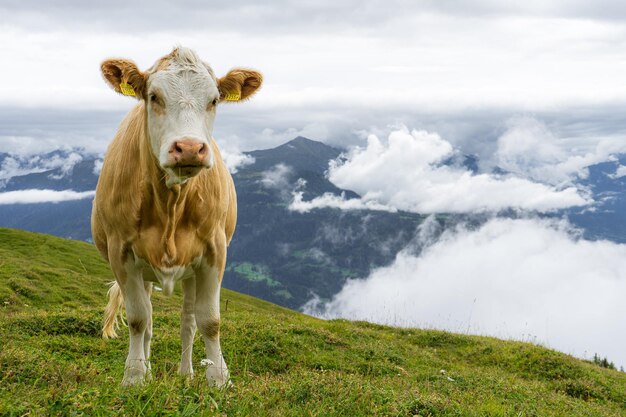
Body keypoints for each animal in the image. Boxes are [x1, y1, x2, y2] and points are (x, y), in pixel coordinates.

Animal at [92, 46, 260, 386]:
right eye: (154, 96)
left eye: (214, 100)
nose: (190, 148)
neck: (170, 204)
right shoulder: (121, 253)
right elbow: (137, 319)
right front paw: (134, 377)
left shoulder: (214, 252)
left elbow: (209, 320)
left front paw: (219, 379)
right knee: (147, 321)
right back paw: (147, 368)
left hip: (190, 273)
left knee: (188, 321)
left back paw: (186, 372)